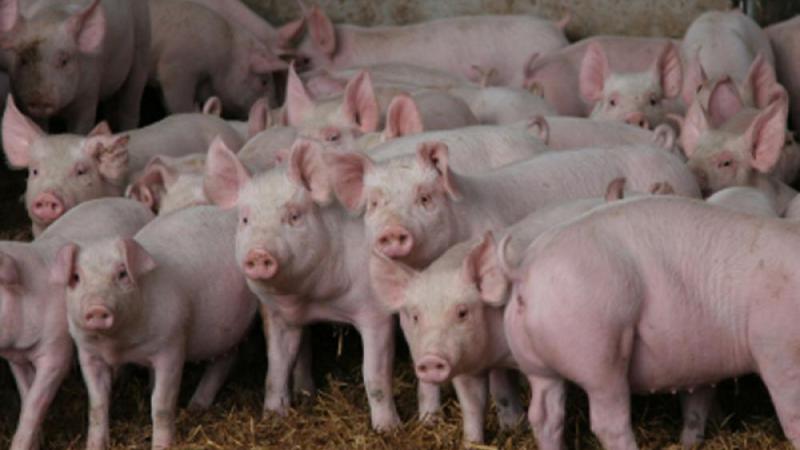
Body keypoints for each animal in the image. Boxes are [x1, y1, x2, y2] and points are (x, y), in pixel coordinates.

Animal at [0, 0, 150, 133]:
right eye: (23, 59)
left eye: (64, 60)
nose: (39, 97)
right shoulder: (23, 101)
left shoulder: (89, 94)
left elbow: (81, 128)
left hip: (142, 47)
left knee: (130, 105)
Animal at [58, 206, 259, 449]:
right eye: (77, 277)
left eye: (122, 274)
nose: (97, 308)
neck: (118, 345)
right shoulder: (88, 353)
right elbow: (97, 405)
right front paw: (94, 446)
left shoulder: (171, 346)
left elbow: (161, 405)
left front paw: (161, 445)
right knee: (226, 358)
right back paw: (196, 406)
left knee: (226, 361)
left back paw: (195, 406)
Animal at [203, 140, 427, 430]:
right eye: (244, 220)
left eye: (294, 216)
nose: (258, 253)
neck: (314, 297)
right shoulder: (277, 316)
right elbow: (275, 369)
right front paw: (272, 417)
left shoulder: (375, 313)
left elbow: (374, 375)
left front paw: (388, 429)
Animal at [500, 195, 800, 449]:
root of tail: (526, 268)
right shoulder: (777, 350)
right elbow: (791, 412)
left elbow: (698, 402)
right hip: (599, 354)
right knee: (609, 423)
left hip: (535, 364)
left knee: (544, 416)